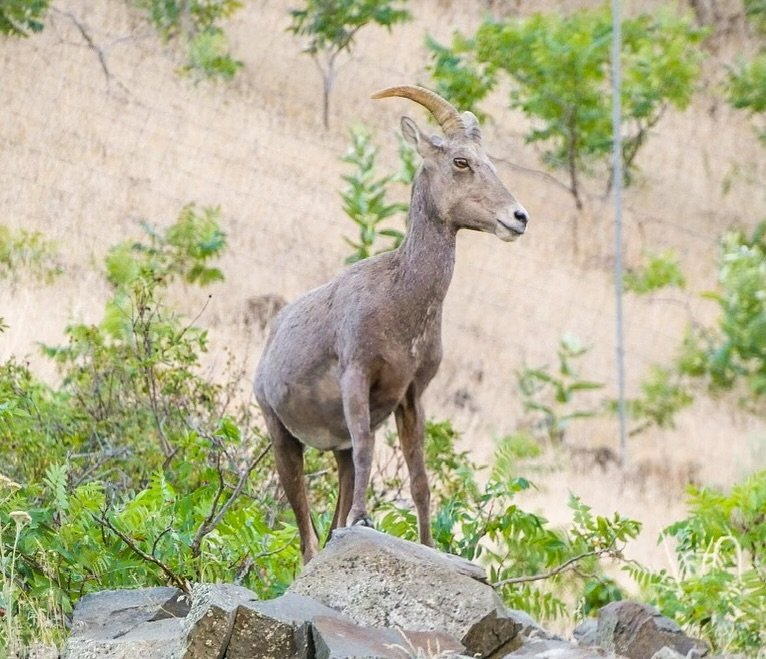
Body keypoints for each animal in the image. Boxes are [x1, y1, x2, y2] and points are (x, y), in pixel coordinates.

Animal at [254, 85, 528, 564]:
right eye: (461, 162)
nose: (518, 217)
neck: (401, 305)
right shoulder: (357, 377)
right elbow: (369, 449)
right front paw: (364, 520)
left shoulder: (411, 396)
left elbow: (419, 478)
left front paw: (428, 544)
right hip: (284, 440)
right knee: (307, 539)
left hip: (336, 452)